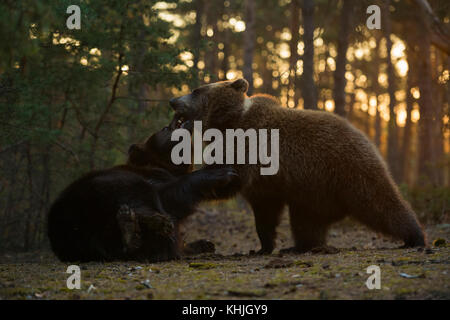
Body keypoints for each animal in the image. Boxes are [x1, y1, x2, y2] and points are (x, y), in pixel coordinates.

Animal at [47, 121, 241, 262]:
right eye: (165, 128)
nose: (179, 121)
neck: (165, 166)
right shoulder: (154, 176)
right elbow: (171, 195)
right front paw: (220, 172)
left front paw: (204, 243)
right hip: (96, 191)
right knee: (139, 196)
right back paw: (150, 221)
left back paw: (131, 232)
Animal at [169, 79, 426, 254]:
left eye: (195, 90)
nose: (172, 100)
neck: (227, 124)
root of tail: (366, 137)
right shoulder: (266, 183)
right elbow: (265, 212)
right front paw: (263, 246)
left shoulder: (249, 147)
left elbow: (234, 181)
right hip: (312, 191)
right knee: (306, 220)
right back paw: (299, 246)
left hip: (348, 169)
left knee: (380, 202)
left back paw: (415, 236)